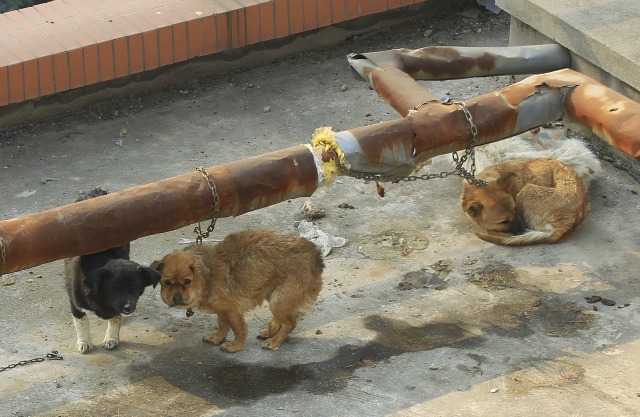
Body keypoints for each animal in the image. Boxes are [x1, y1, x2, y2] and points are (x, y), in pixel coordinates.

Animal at [63, 188, 160, 354]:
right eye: (114, 288)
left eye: (135, 287)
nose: (128, 307)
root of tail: (96, 191)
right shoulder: (75, 303)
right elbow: (81, 322)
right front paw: (84, 341)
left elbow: (116, 318)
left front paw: (111, 337)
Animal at [151, 229, 324, 350]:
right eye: (167, 282)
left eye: (187, 282)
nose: (176, 298)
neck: (208, 277)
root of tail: (315, 255)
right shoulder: (222, 310)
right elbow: (222, 325)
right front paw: (218, 338)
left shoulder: (232, 310)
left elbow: (238, 329)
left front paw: (236, 346)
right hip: (275, 296)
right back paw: (269, 332)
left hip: (279, 300)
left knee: (290, 323)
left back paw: (274, 341)